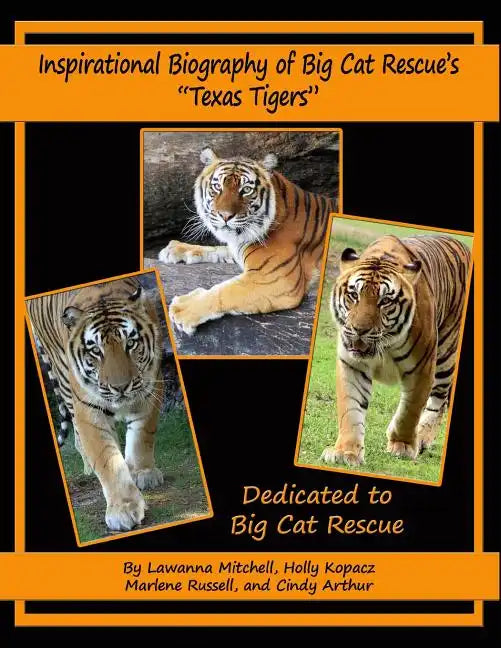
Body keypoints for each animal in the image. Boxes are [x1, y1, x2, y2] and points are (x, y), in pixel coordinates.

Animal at [26, 277, 164, 532]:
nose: (121, 387)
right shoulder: (88, 409)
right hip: (64, 379)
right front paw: (123, 509)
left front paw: (143, 472)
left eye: (131, 343)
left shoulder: (150, 389)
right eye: (95, 351)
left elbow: (142, 437)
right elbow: (106, 458)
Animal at [158, 147, 337, 334]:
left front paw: (183, 308)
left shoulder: (276, 280)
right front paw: (176, 249)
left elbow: (224, 291)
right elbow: (218, 249)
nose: (225, 215)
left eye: (246, 189)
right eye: (217, 187)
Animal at [322, 234, 471, 466]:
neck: (384, 346)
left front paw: (402, 446)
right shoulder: (352, 364)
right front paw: (346, 452)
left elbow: (410, 410)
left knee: (438, 401)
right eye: (354, 295)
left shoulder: (422, 369)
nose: (359, 330)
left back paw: (422, 438)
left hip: (446, 356)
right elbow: (351, 409)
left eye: (384, 301)